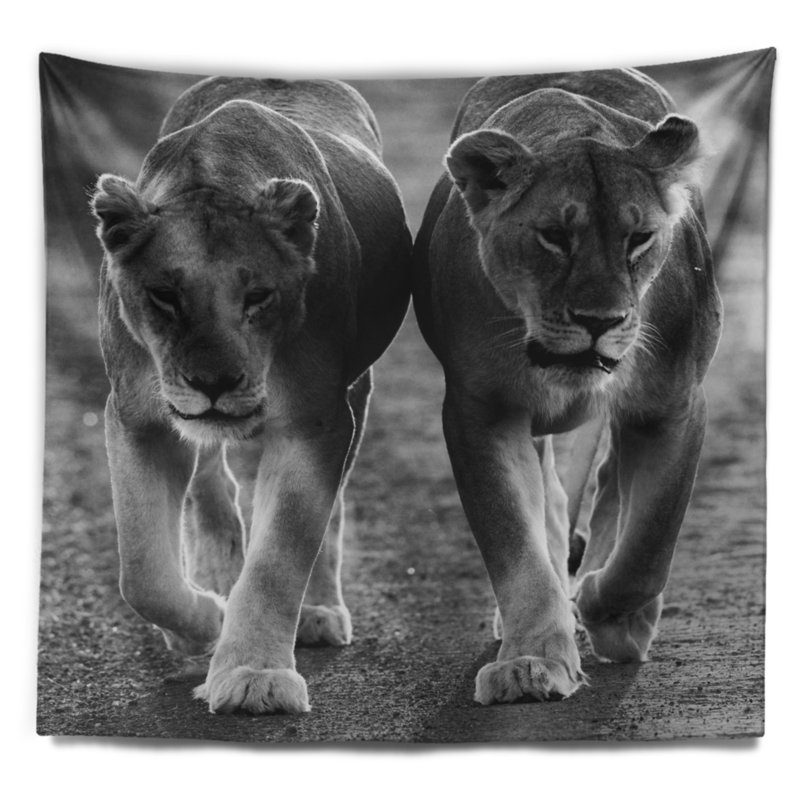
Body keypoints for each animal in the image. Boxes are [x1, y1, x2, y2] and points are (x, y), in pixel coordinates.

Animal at [91, 77, 411, 714]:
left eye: (258, 297)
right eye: (164, 296)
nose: (213, 383)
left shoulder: (317, 420)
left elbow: (279, 555)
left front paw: (253, 675)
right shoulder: (138, 417)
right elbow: (141, 570)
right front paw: (204, 623)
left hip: (356, 389)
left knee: (326, 510)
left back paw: (315, 611)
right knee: (212, 490)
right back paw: (216, 580)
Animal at [412, 69, 722, 704]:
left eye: (640, 238)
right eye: (553, 236)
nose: (600, 321)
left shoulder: (675, 405)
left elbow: (650, 543)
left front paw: (609, 613)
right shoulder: (482, 411)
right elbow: (515, 543)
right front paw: (532, 660)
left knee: (611, 491)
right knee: (556, 504)